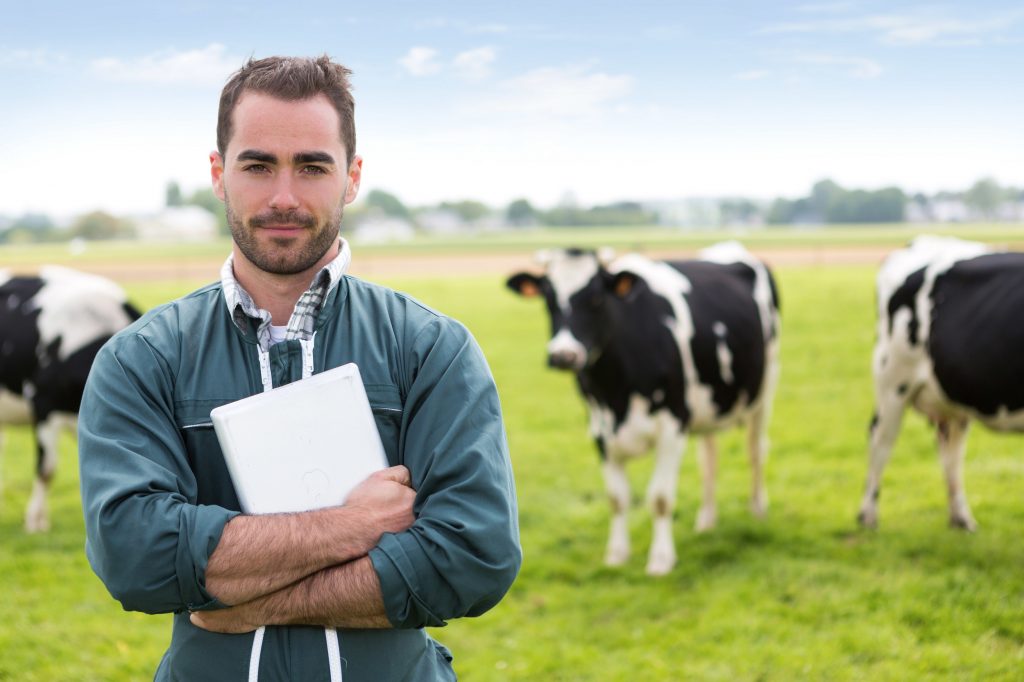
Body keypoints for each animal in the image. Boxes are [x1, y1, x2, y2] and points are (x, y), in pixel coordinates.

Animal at [507, 241, 778, 569]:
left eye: (596, 298)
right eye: (548, 299)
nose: (563, 355)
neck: (616, 392)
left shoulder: (673, 427)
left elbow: (659, 498)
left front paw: (661, 560)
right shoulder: (600, 431)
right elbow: (616, 498)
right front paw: (616, 554)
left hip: (765, 387)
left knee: (756, 451)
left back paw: (759, 509)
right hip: (709, 405)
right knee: (709, 461)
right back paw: (706, 520)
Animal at [856, 236, 1024, 528]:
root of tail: (921, 240)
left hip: (954, 395)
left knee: (950, 450)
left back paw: (961, 519)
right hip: (892, 381)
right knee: (880, 441)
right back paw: (868, 517)